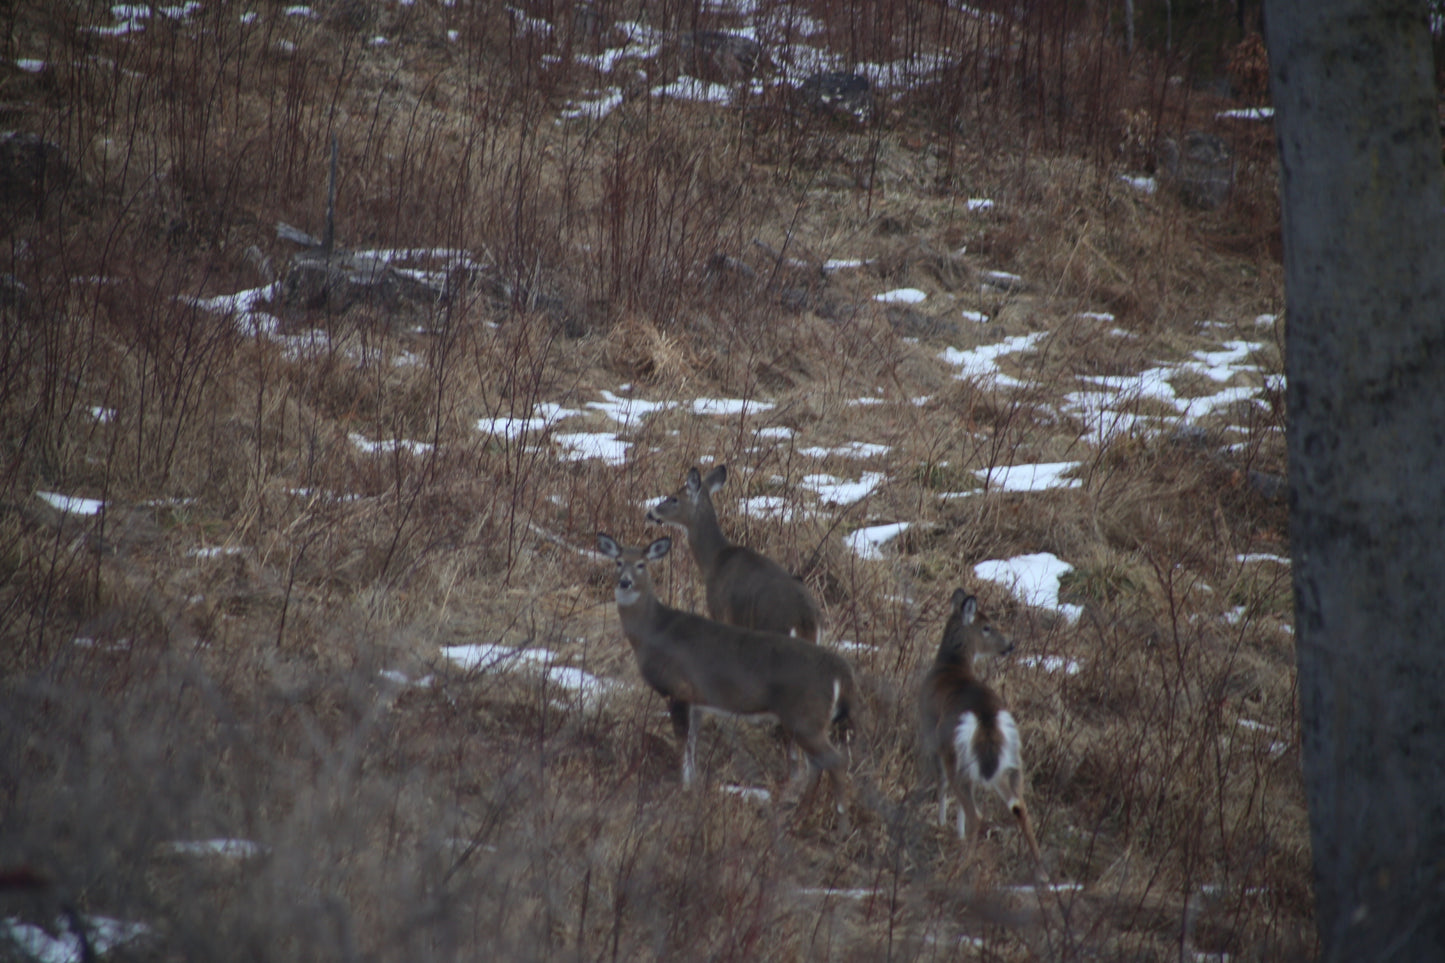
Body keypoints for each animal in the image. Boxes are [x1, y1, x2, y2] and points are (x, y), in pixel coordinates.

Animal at [596, 533, 854, 822]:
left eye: (641, 564)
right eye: (618, 562)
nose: (625, 582)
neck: (654, 631)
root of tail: (840, 672)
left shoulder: (677, 689)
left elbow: (682, 745)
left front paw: (684, 791)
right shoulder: (696, 700)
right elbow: (692, 746)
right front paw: (694, 787)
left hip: (805, 714)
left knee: (835, 760)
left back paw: (838, 816)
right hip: (809, 720)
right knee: (817, 764)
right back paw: (801, 812)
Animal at [919, 589, 1043, 871]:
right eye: (987, 627)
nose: (1010, 644)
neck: (950, 666)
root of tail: (986, 718)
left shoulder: (930, 737)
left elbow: (941, 784)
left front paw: (943, 825)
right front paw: (958, 833)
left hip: (953, 751)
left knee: (976, 812)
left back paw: (963, 864)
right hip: (1011, 757)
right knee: (1021, 807)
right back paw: (1042, 871)